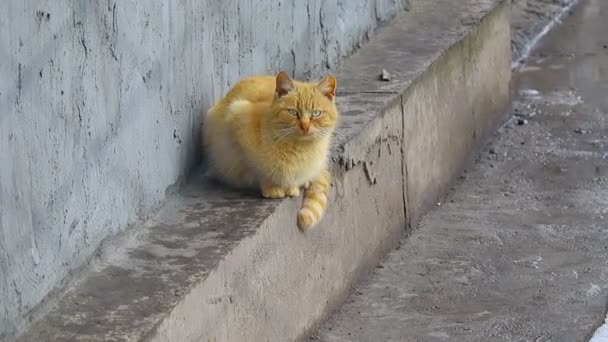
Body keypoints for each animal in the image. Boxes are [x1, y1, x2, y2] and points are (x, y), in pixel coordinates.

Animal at [203, 71, 338, 231]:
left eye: (316, 113)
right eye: (293, 112)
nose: (305, 126)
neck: (298, 148)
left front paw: (292, 186)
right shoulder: (238, 121)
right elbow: (259, 170)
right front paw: (273, 187)